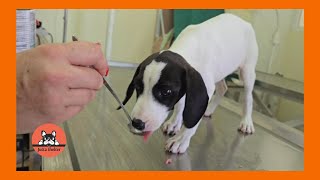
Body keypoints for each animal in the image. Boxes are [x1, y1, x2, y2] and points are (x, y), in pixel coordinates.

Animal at [119, 13, 258, 153]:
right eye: (138, 86)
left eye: (166, 92)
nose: (137, 123)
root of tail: (242, 20)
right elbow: (181, 104)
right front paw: (174, 122)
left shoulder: (204, 89)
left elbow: (192, 117)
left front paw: (181, 139)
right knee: (222, 88)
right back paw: (209, 109)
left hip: (247, 72)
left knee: (248, 97)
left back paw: (246, 121)